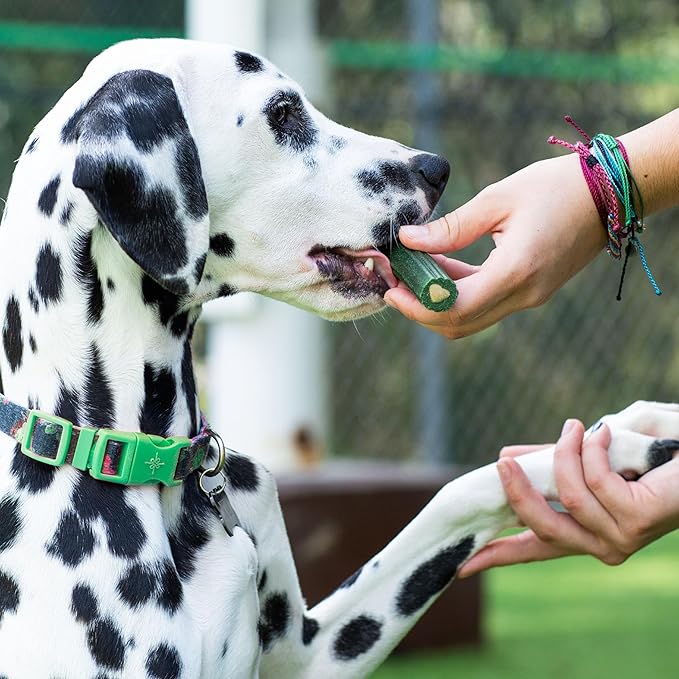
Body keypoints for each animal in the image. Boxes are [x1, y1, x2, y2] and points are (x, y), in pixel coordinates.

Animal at [1, 38, 679, 679]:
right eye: (283, 112)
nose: (435, 168)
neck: (147, 461)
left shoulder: (311, 651)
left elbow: (459, 493)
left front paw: (619, 437)